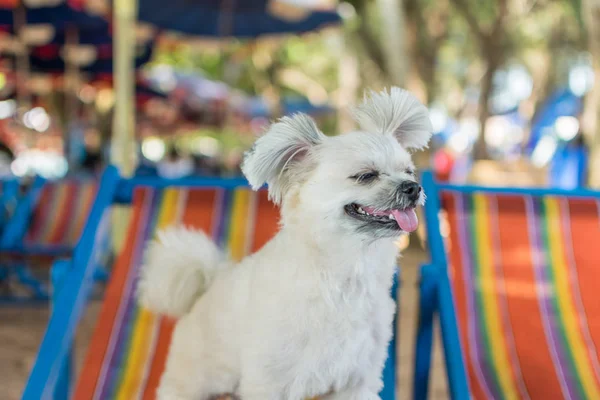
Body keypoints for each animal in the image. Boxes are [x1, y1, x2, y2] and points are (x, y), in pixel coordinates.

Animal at [137, 88, 432, 400]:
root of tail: (204, 290)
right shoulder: (270, 381)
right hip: (192, 381)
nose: (413, 188)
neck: (343, 279)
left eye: (409, 171)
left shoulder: (357, 382)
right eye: (366, 175)